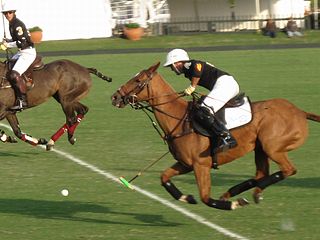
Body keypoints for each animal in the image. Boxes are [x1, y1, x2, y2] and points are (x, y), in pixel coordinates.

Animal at [111, 62, 320, 210]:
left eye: (137, 81)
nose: (115, 97)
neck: (179, 118)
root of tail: (301, 112)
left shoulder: (200, 164)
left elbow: (205, 198)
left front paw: (233, 204)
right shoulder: (186, 163)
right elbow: (164, 177)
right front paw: (187, 197)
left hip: (273, 147)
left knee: (288, 170)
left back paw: (248, 194)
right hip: (260, 148)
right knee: (261, 174)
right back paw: (236, 193)